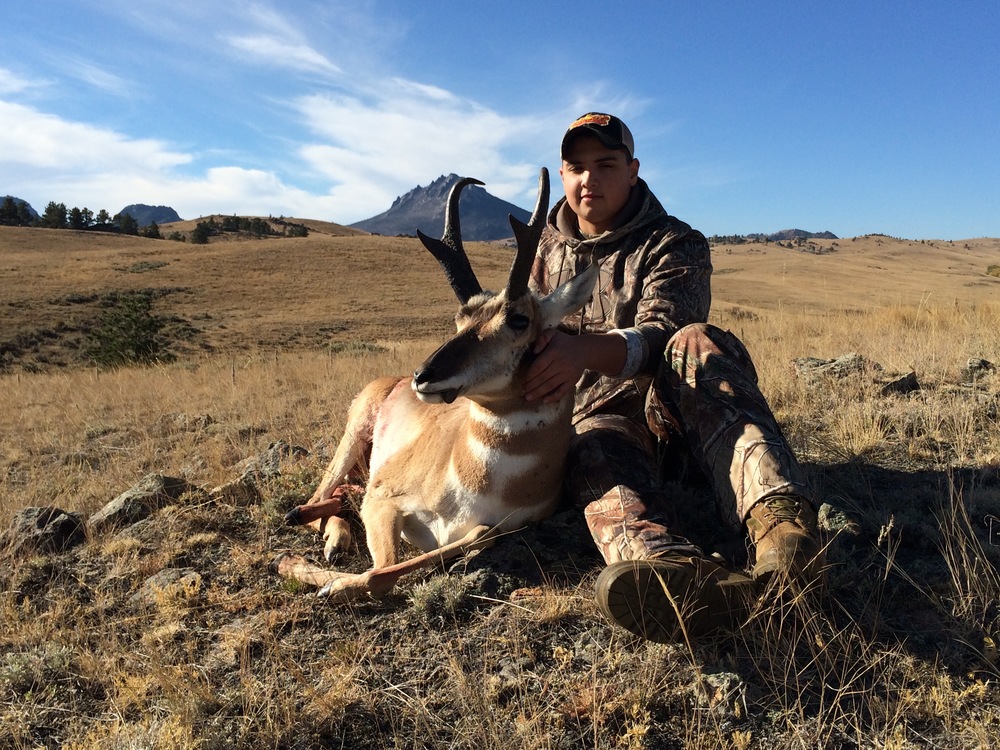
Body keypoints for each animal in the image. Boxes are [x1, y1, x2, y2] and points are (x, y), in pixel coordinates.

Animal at [277, 168, 597, 601]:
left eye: (519, 319)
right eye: (460, 317)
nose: (423, 376)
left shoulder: (490, 527)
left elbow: (465, 540)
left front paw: (328, 582)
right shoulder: (383, 498)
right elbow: (382, 571)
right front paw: (316, 577)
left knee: (340, 496)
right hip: (351, 441)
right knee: (322, 495)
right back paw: (323, 534)